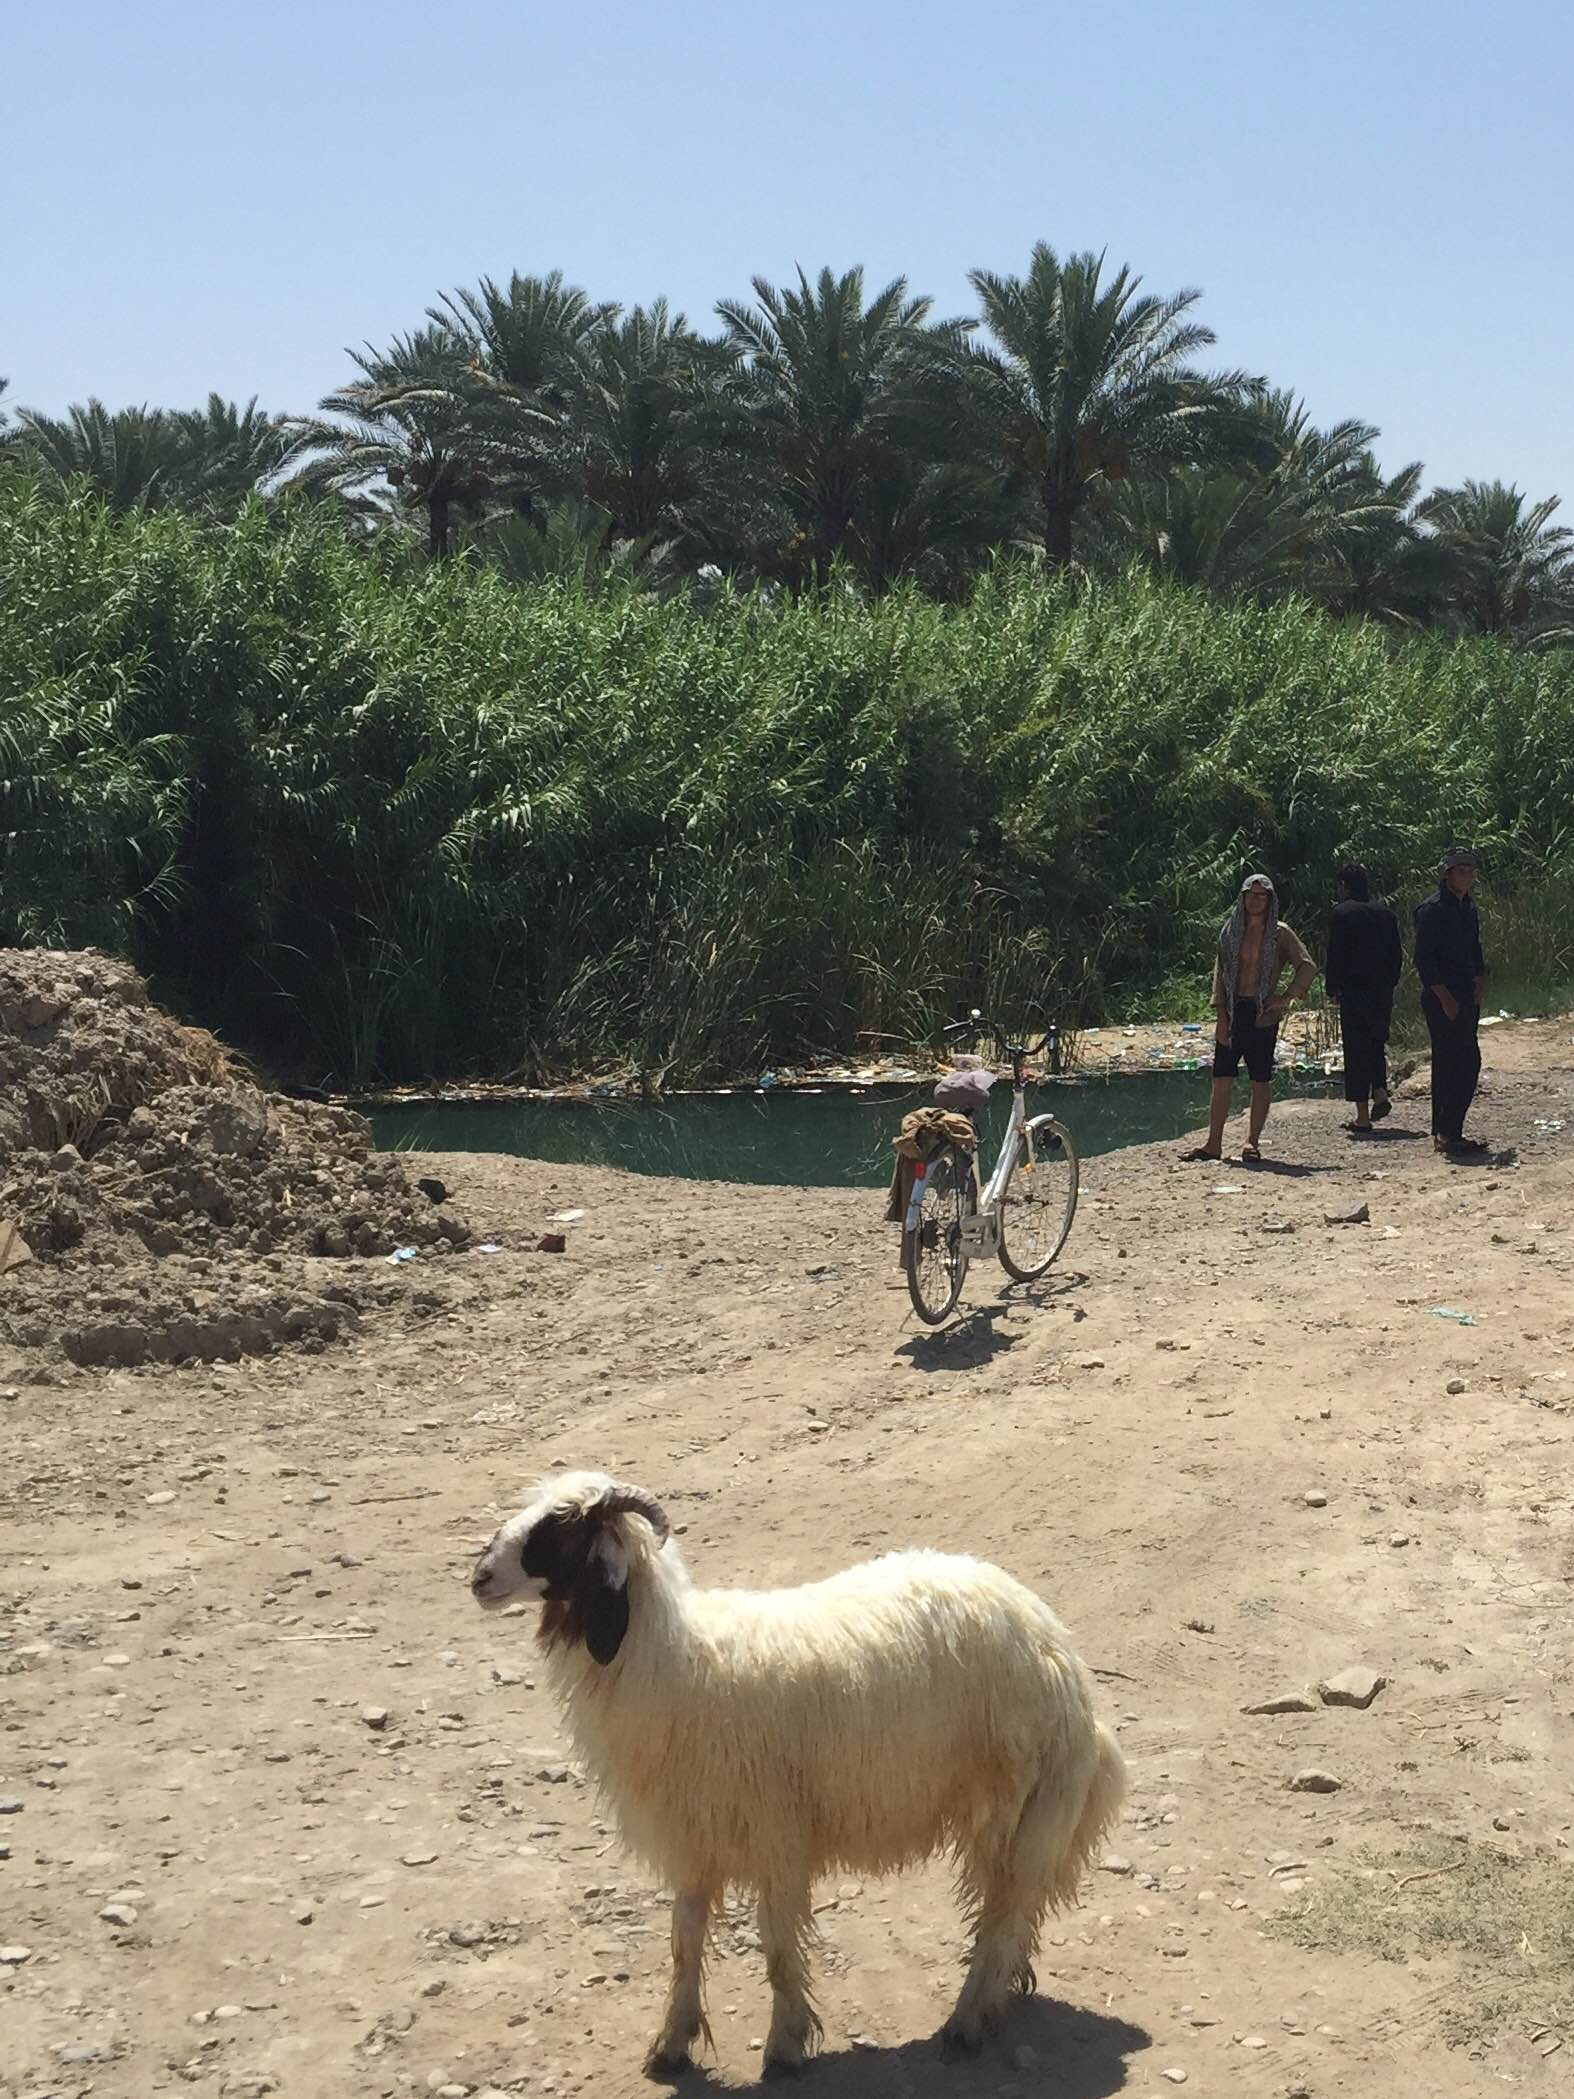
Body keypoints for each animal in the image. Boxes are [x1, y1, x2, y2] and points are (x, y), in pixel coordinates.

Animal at [474, 1469, 1124, 2073]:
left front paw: (785, 2047)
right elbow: (685, 1942)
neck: (675, 1661)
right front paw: (672, 2044)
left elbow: (779, 1949)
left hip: (1014, 1805)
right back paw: (1004, 1993)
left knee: (1003, 1913)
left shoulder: (776, 1837)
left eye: (562, 1528)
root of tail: (1057, 1647)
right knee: (1013, 1906)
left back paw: (967, 2020)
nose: (478, 1577)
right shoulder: (694, 1840)